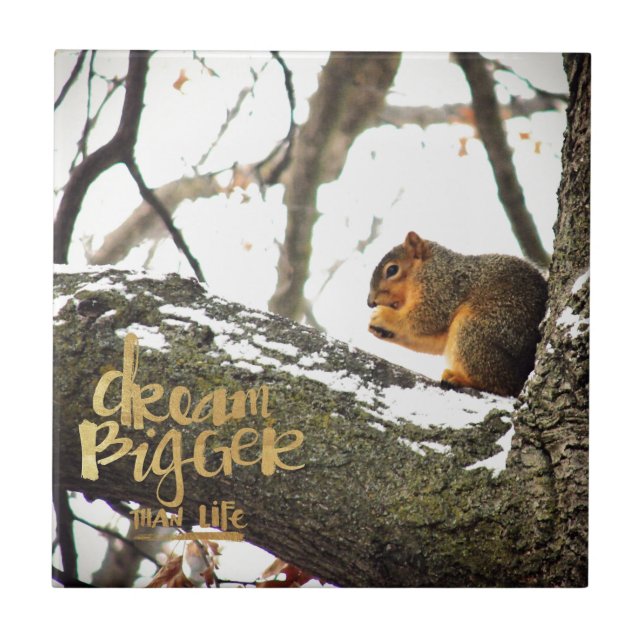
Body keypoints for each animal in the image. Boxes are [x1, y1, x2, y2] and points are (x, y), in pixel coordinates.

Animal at [367, 231, 547, 397]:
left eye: (392, 269)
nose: (370, 302)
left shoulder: (442, 290)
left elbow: (423, 320)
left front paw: (383, 317)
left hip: (474, 331)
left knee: (502, 384)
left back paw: (458, 378)